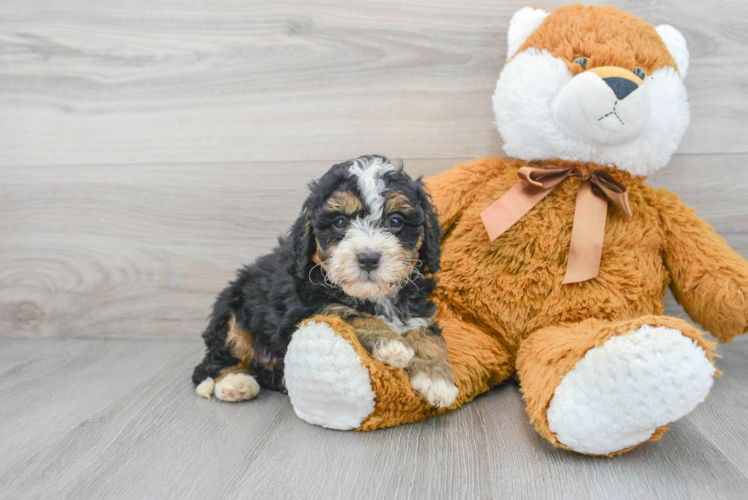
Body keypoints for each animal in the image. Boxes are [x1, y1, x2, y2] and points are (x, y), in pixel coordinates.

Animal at [191, 155, 462, 406]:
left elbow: (429, 335)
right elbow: (347, 313)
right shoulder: (303, 310)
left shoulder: (418, 309)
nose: (368, 258)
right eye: (340, 222)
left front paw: (436, 379)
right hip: (232, 311)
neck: (372, 297)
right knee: (216, 358)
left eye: (395, 221)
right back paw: (234, 383)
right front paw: (392, 345)